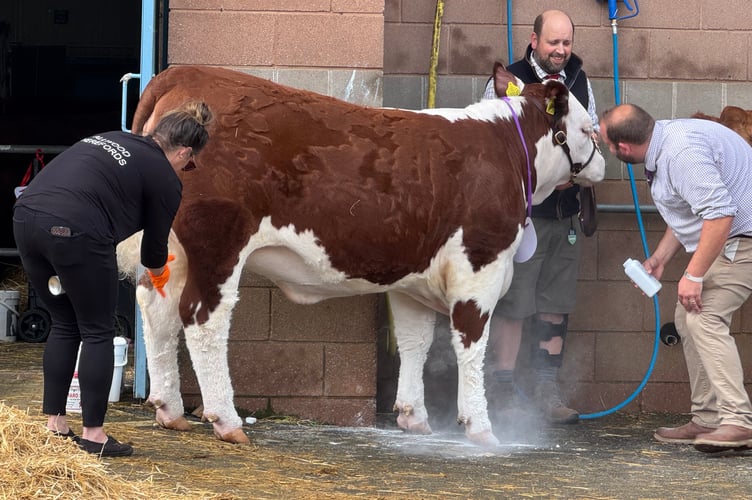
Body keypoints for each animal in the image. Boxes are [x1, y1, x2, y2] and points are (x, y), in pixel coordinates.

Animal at [116, 63, 605, 447]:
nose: (602, 163)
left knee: (157, 313)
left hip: (172, 249)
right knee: (203, 319)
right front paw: (480, 427)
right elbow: (470, 345)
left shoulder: (412, 277)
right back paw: (226, 420)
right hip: (218, 242)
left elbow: (414, 342)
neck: (505, 149)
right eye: (588, 129)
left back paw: (170, 410)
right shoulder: (480, 267)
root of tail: (186, 72)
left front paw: (414, 417)